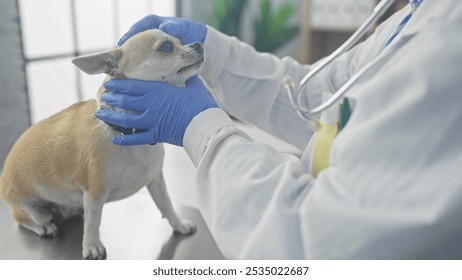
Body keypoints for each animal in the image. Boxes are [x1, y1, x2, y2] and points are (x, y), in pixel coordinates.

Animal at [0, 29, 202, 260]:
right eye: (167, 47)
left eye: (180, 40)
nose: (198, 43)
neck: (126, 133)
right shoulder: (94, 194)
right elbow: (94, 223)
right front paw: (92, 245)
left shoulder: (156, 181)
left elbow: (167, 206)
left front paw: (179, 225)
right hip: (34, 208)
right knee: (23, 219)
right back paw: (42, 227)